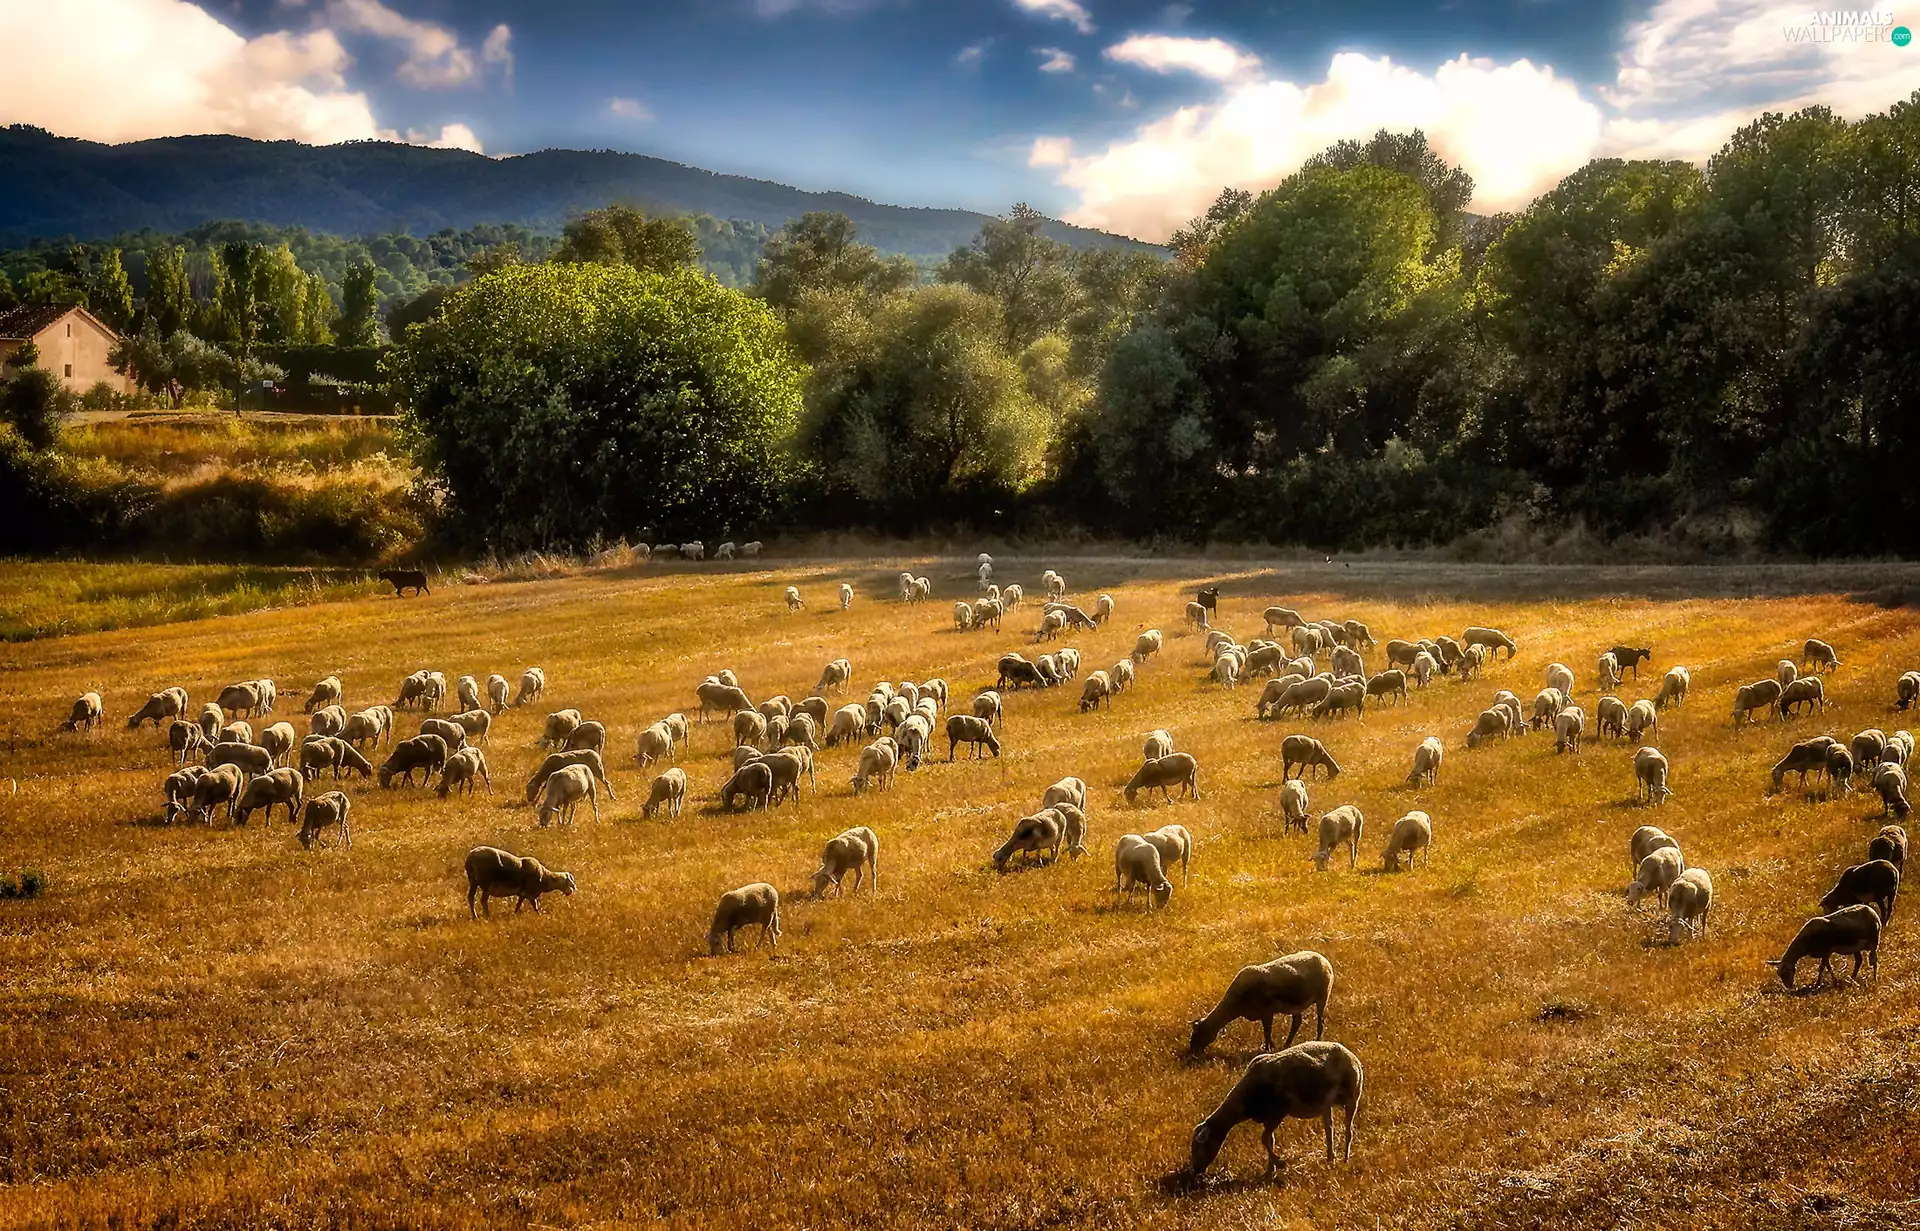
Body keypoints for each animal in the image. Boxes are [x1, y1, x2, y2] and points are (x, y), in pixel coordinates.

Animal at [1188, 1041, 1363, 1180]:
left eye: (1200, 1146)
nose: (1196, 1170)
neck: (1245, 1098)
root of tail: (1352, 1057)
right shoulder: (1268, 1117)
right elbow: (1269, 1140)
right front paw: (1269, 1171)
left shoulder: (1278, 1112)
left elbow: (1264, 1139)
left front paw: (1279, 1164)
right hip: (1326, 1104)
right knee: (1329, 1129)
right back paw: (1330, 1158)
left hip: (1352, 1096)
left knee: (1348, 1131)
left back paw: (1345, 1159)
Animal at [1189, 951, 1333, 1059]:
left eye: (1201, 1032)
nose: (1192, 1052)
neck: (1236, 1004)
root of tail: (1324, 959)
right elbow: (1267, 1031)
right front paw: (1272, 1047)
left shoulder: (1267, 1011)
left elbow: (1267, 1032)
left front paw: (1268, 1049)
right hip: (1296, 1005)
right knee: (1297, 1022)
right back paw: (1286, 1045)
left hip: (1323, 996)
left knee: (1320, 1022)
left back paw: (1318, 1040)